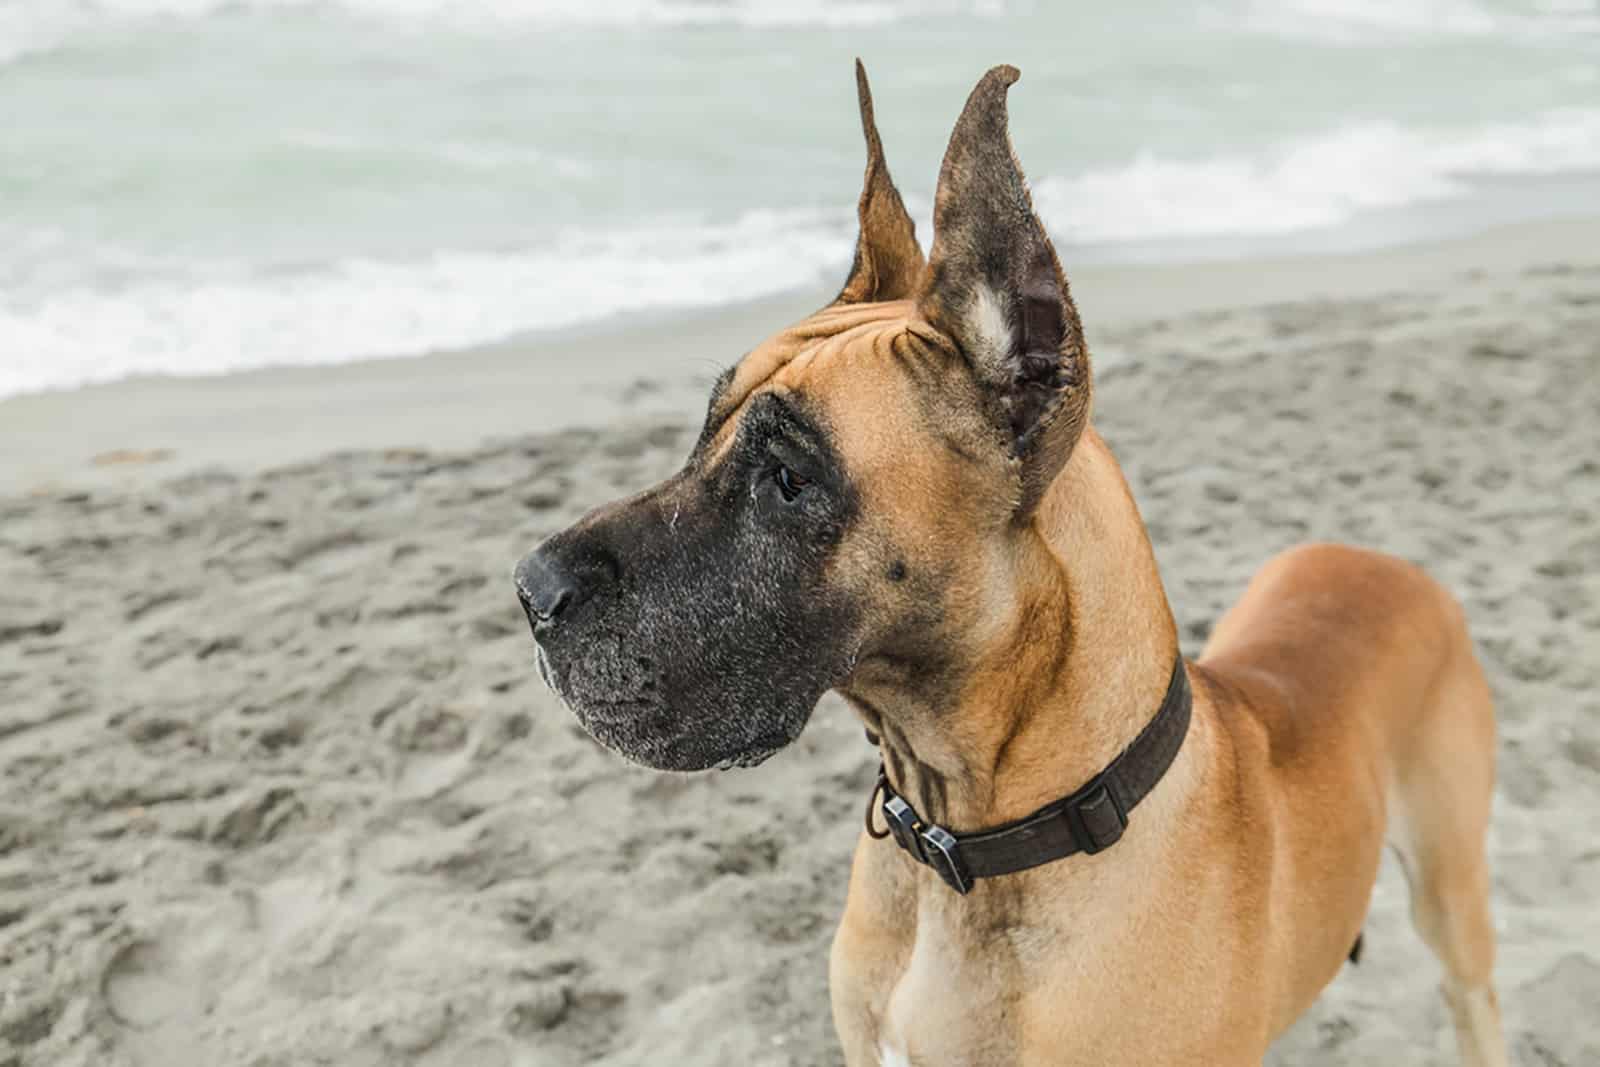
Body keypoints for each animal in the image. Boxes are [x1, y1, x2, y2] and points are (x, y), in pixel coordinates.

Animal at [518, 62, 1504, 1062]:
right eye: (705, 430)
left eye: (788, 478)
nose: (531, 590)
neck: (974, 842)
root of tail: (1380, 560)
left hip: (1454, 905)